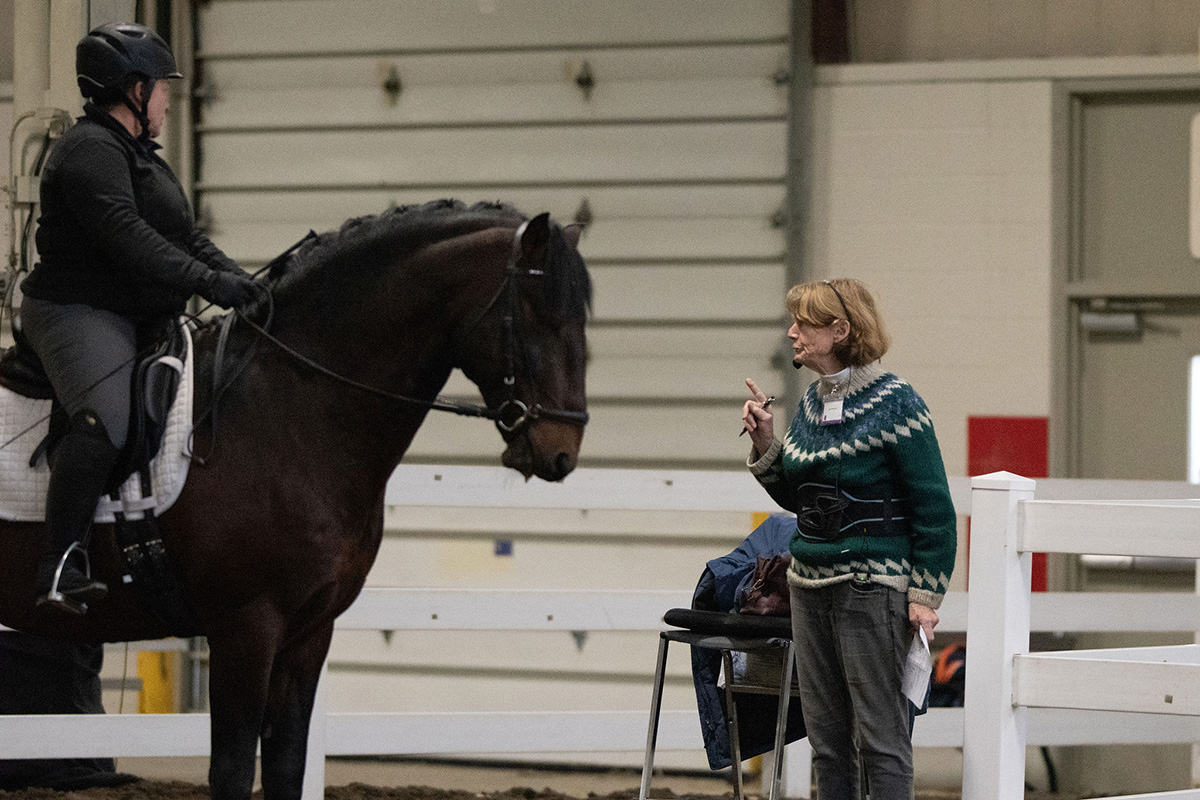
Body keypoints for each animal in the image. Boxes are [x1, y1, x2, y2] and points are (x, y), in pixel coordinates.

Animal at [0, 200, 590, 800]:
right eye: (537, 314)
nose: (562, 452)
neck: (289, 409)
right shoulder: (246, 628)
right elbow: (233, 770)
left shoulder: (308, 631)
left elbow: (288, 763)